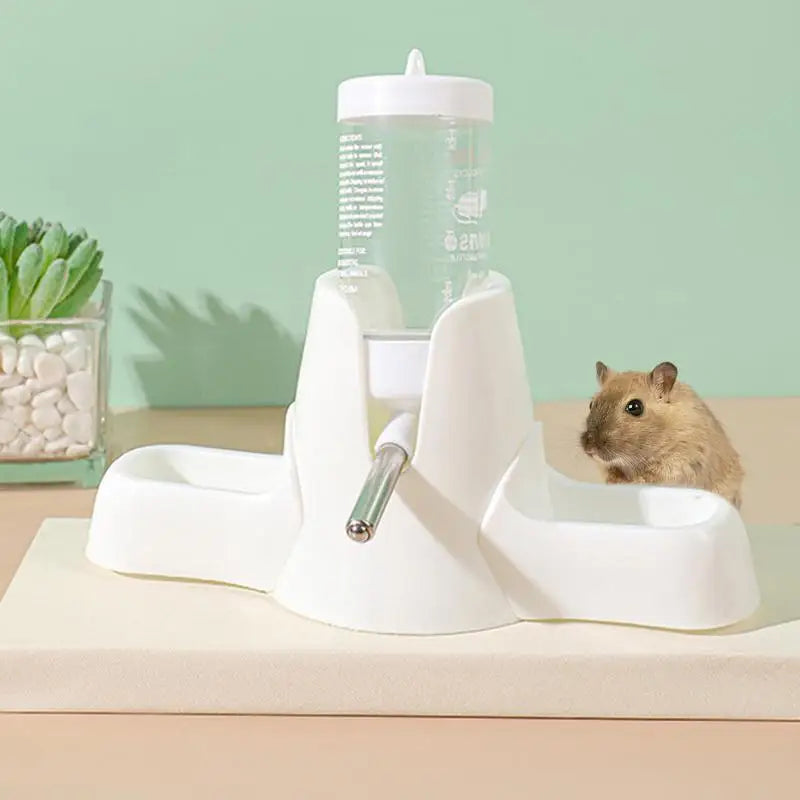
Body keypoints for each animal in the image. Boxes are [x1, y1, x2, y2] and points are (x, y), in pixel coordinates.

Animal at [580, 360, 744, 508]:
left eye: (635, 407)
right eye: (591, 404)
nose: (589, 447)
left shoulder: (679, 465)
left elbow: (648, 478)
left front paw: (626, 481)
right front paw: (612, 479)